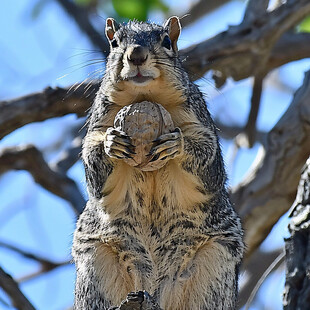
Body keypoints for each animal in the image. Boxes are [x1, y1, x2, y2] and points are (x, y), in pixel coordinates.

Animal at [72, 17, 245, 310]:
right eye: (114, 42)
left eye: (166, 41)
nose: (136, 55)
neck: (145, 97)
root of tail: (154, 291)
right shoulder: (99, 121)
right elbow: (93, 173)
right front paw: (111, 144)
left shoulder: (199, 121)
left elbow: (211, 167)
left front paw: (177, 145)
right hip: (96, 264)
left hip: (215, 267)